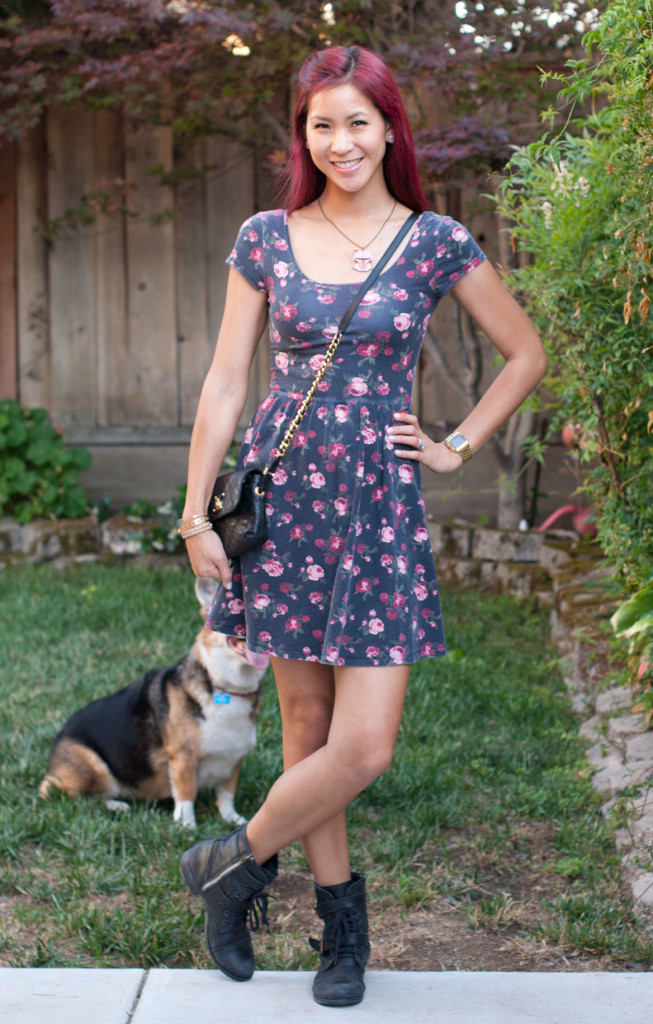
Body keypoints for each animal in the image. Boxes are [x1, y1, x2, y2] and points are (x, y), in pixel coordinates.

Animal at [38, 581, 270, 827]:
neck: (224, 686)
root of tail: (58, 738)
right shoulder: (183, 758)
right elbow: (186, 794)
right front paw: (187, 826)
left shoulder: (234, 758)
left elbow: (226, 796)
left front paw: (234, 820)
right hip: (92, 766)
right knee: (77, 795)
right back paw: (116, 805)